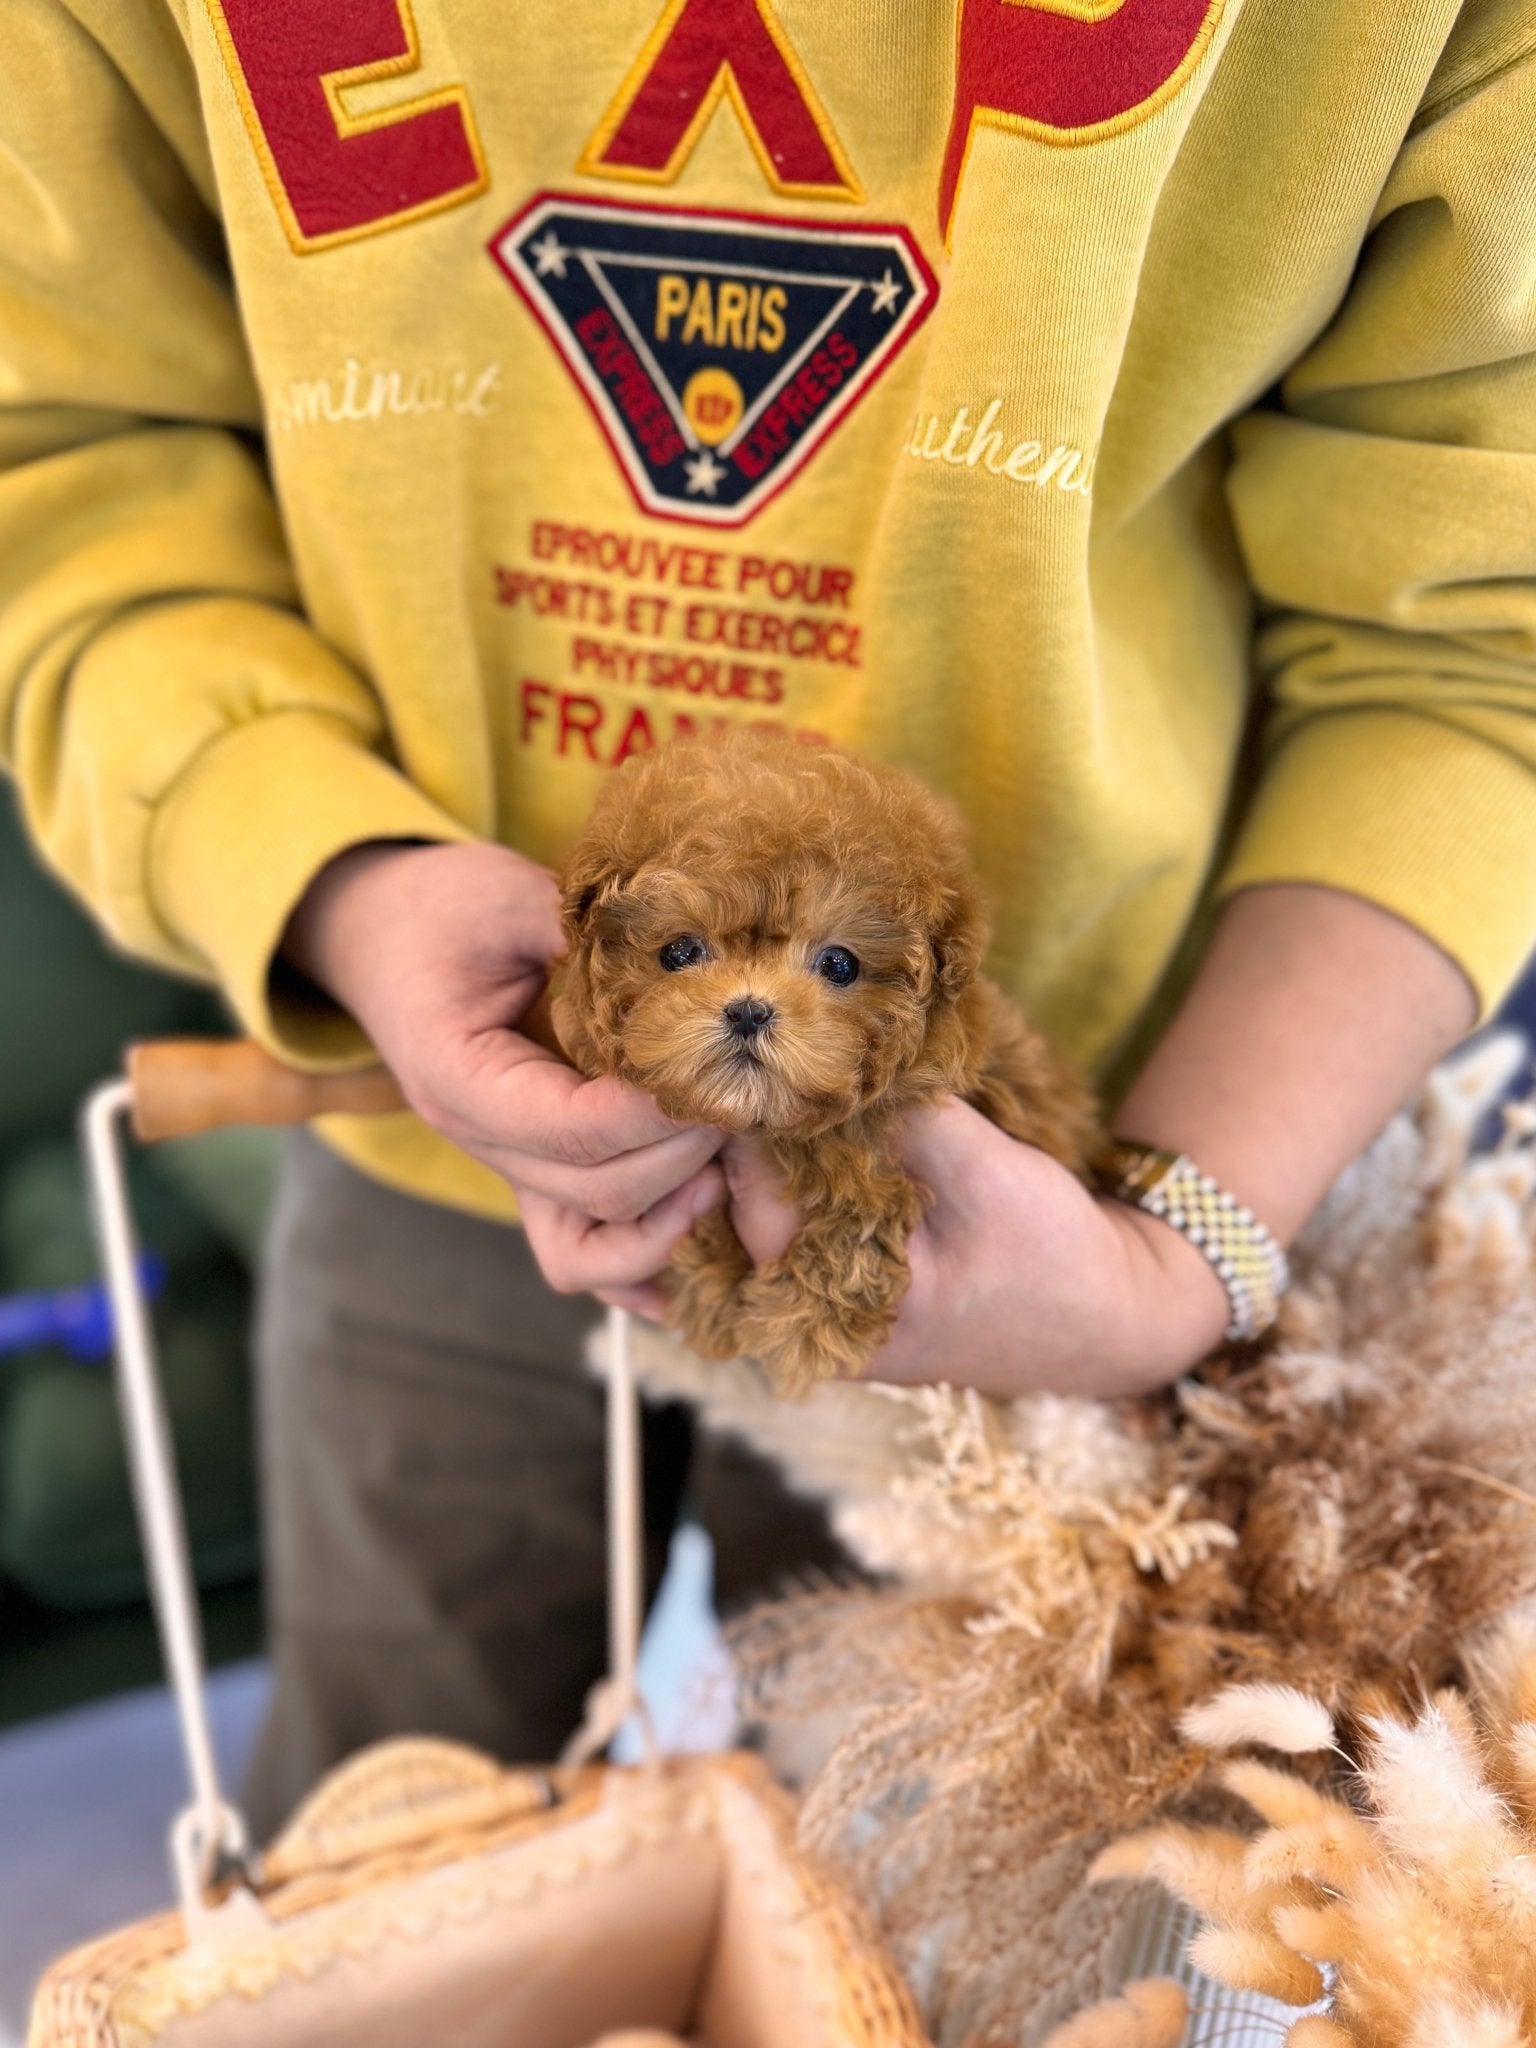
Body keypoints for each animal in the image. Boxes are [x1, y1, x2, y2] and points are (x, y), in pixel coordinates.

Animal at [561, 729, 1097, 1400]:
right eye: (679, 952)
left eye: (839, 964)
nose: (748, 1011)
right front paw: (712, 1290)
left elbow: (869, 1205)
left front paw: (802, 1326)